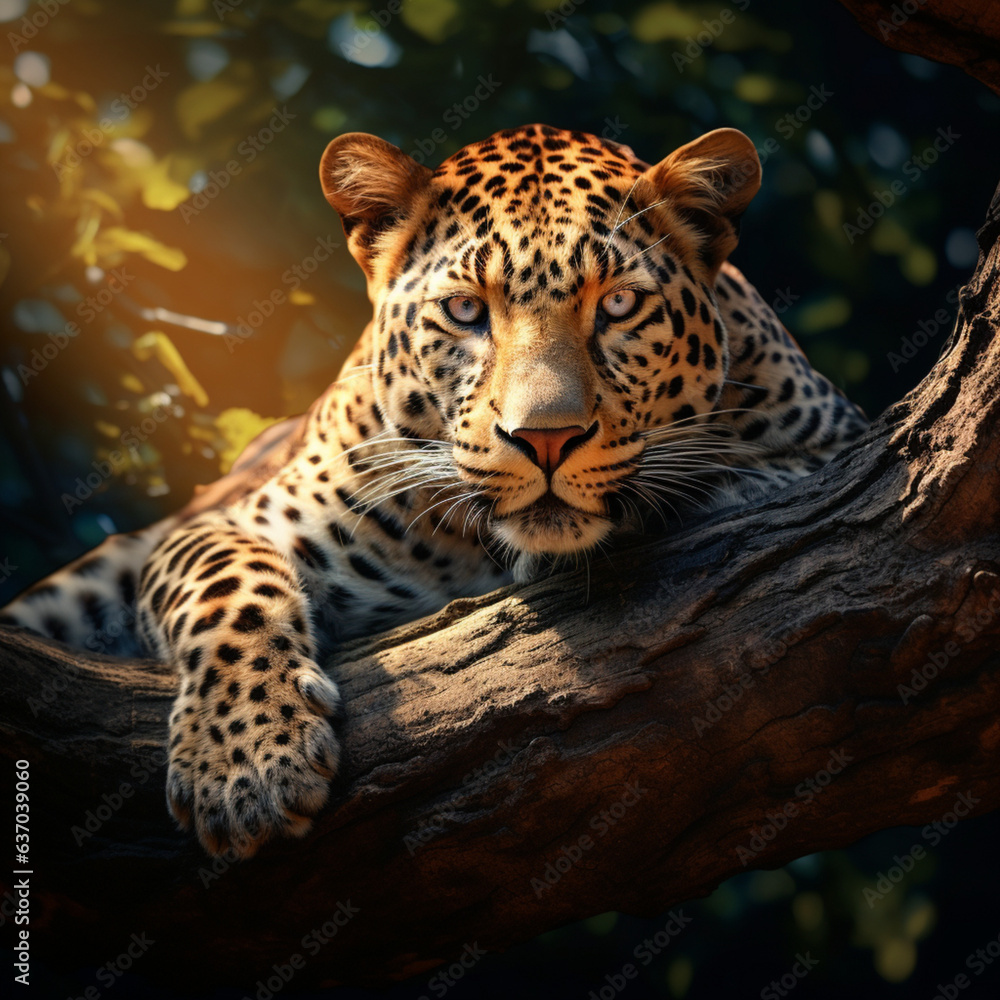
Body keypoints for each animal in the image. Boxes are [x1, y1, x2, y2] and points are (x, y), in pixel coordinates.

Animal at [0, 123, 868, 858]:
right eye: (464, 311)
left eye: (619, 304)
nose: (545, 438)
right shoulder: (233, 523)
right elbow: (228, 590)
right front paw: (246, 765)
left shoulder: (836, 443)